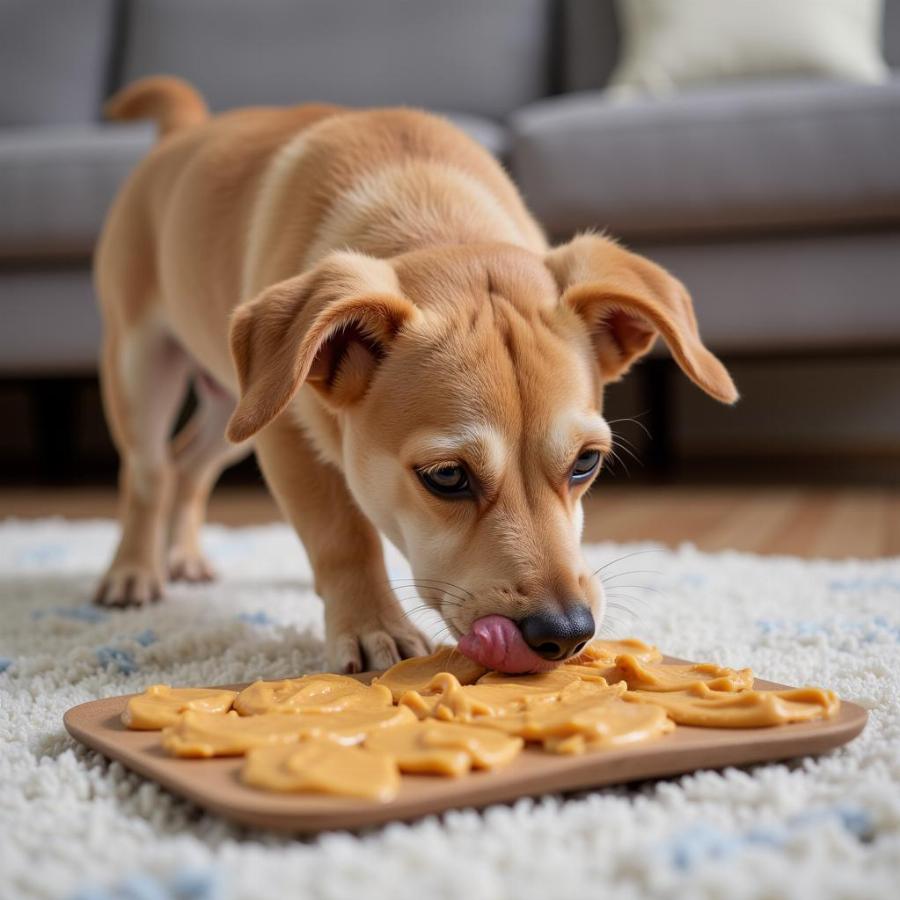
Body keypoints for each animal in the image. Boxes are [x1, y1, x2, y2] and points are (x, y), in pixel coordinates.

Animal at [93, 77, 740, 676]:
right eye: (447, 477)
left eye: (586, 463)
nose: (565, 634)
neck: (430, 211)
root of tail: (183, 130)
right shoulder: (287, 435)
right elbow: (342, 537)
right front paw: (371, 628)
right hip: (148, 369)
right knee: (149, 471)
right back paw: (133, 571)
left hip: (236, 405)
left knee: (188, 463)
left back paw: (184, 556)